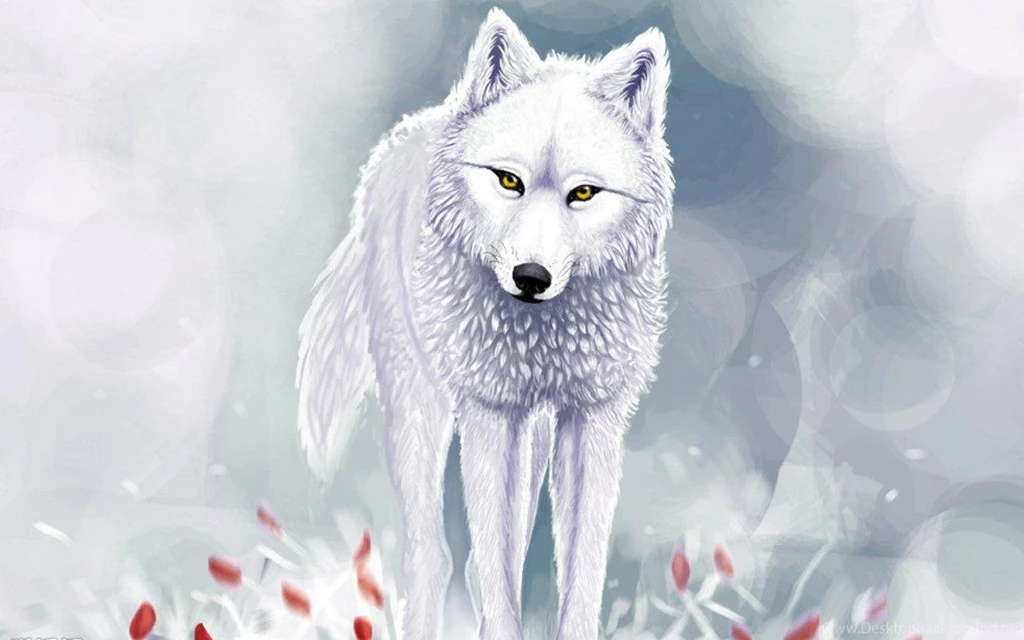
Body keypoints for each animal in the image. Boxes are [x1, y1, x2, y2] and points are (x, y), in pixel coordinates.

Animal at [297, 8, 673, 639]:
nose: (531, 276)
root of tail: (415, 129)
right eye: (508, 180)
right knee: (432, 555)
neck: (542, 334)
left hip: (534, 432)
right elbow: (492, 569)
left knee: (494, 554)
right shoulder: (489, 414)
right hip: (419, 405)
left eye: (583, 193)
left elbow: (580, 567)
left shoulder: (593, 417)